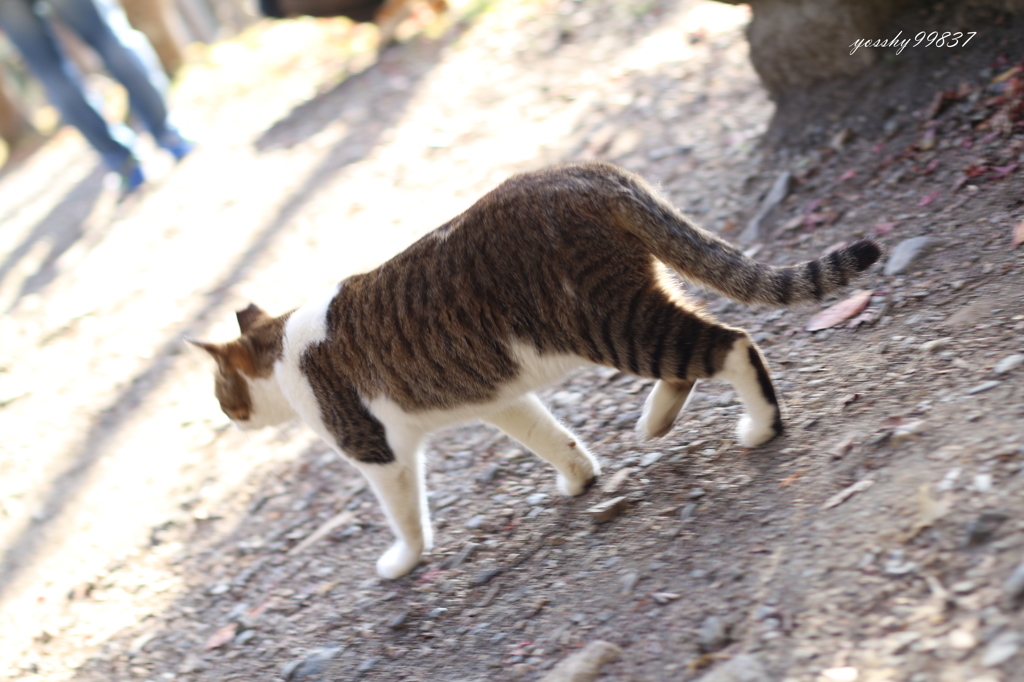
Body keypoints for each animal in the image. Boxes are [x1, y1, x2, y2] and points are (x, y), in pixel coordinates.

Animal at [190, 161, 880, 577]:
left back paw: (760, 426)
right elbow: (550, 438)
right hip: (627, 310)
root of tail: (586, 173)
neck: (283, 345)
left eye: (222, 394)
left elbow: (405, 514)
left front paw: (403, 560)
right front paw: (579, 478)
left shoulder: (375, 449)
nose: (228, 418)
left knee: (728, 344)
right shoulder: (501, 398)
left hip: (608, 322)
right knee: (690, 356)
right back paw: (656, 421)